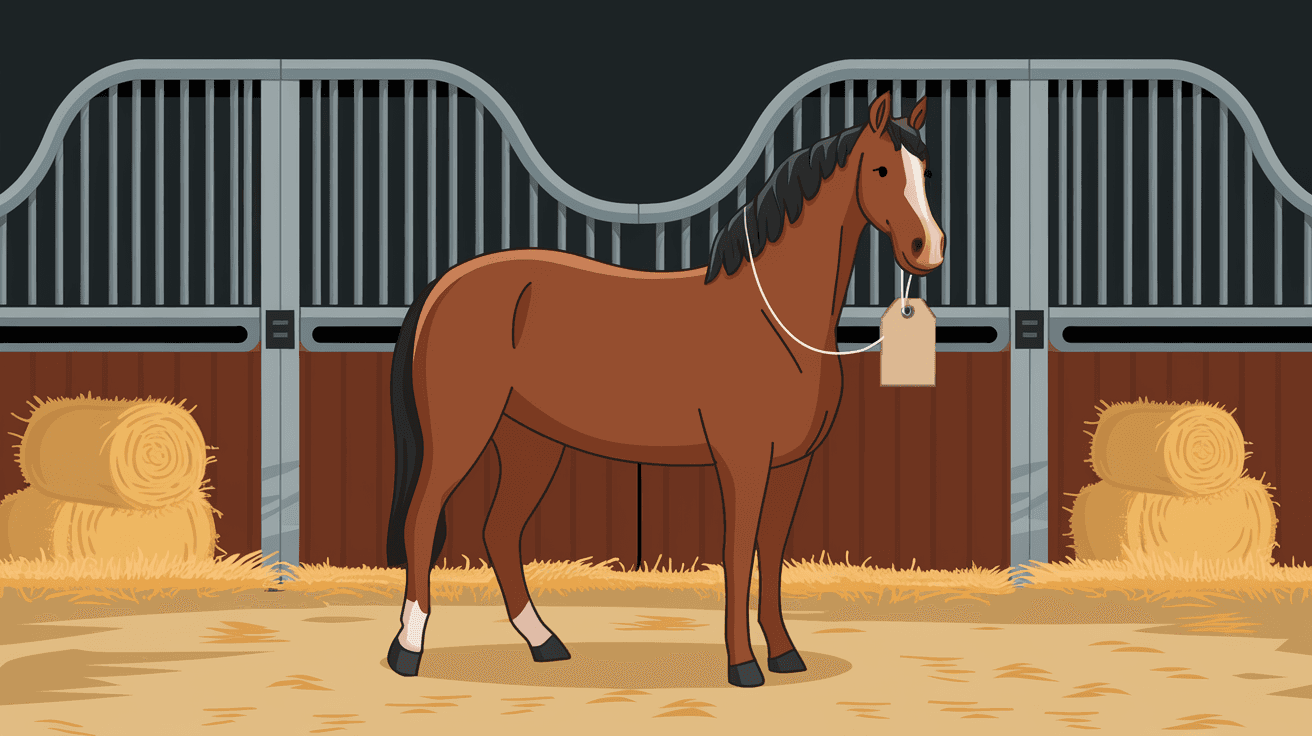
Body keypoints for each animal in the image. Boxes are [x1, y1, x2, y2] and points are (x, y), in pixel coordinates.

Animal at [384, 90, 945, 688]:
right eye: (881, 170)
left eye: (927, 170)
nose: (928, 249)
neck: (772, 315)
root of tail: (444, 285)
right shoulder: (743, 459)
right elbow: (738, 551)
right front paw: (743, 665)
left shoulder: (794, 465)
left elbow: (772, 552)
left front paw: (785, 654)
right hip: (460, 435)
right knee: (423, 520)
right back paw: (408, 650)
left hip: (529, 441)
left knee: (501, 532)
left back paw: (544, 641)